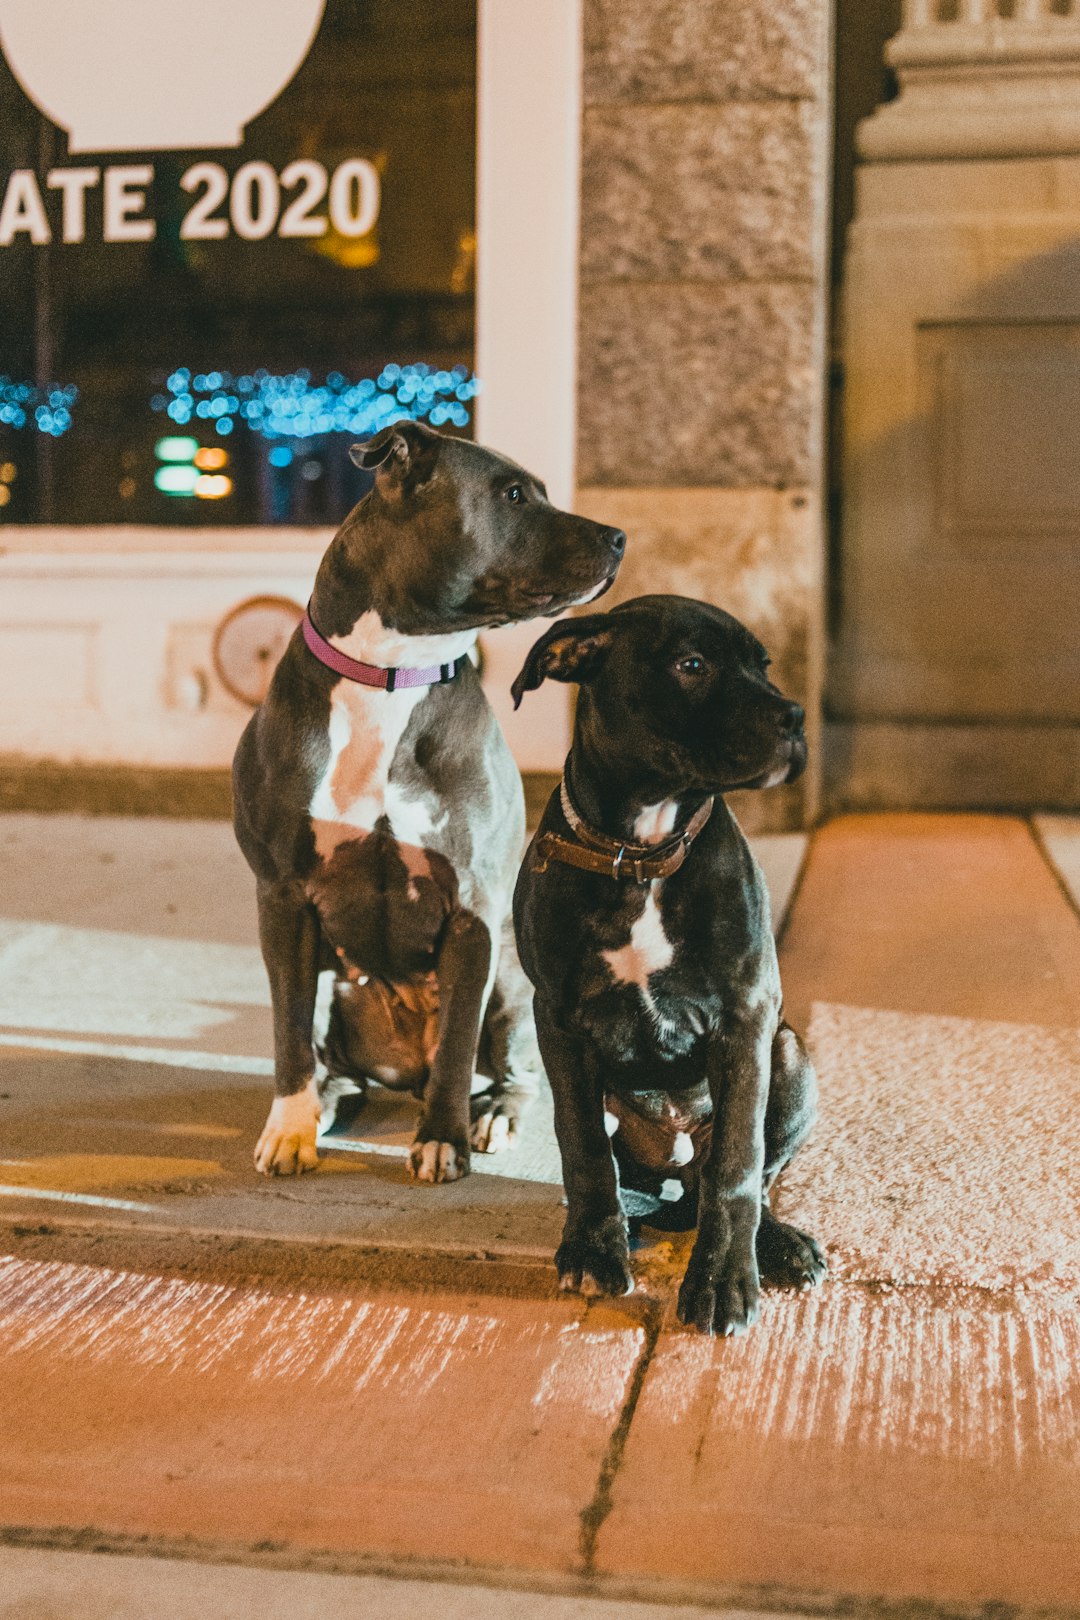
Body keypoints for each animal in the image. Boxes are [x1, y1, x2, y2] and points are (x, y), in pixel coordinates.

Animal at [233, 424, 628, 1185]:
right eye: (513, 494)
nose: (618, 535)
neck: (393, 673)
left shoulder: (473, 906)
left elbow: (456, 1045)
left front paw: (443, 1139)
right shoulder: (281, 898)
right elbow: (287, 1032)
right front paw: (288, 1129)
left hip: (513, 982)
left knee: (508, 1070)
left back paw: (492, 1113)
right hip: (332, 977)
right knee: (330, 1059)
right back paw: (324, 1105)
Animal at [514, 596, 829, 1328]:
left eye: (764, 665)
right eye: (692, 665)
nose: (795, 716)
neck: (641, 850)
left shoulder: (746, 1019)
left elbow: (738, 1166)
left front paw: (722, 1281)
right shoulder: (560, 1020)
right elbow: (582, 1148)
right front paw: (594, 1250)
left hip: (789, 1054)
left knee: (746, 1176)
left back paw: (778, 1245)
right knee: (630, 1173)